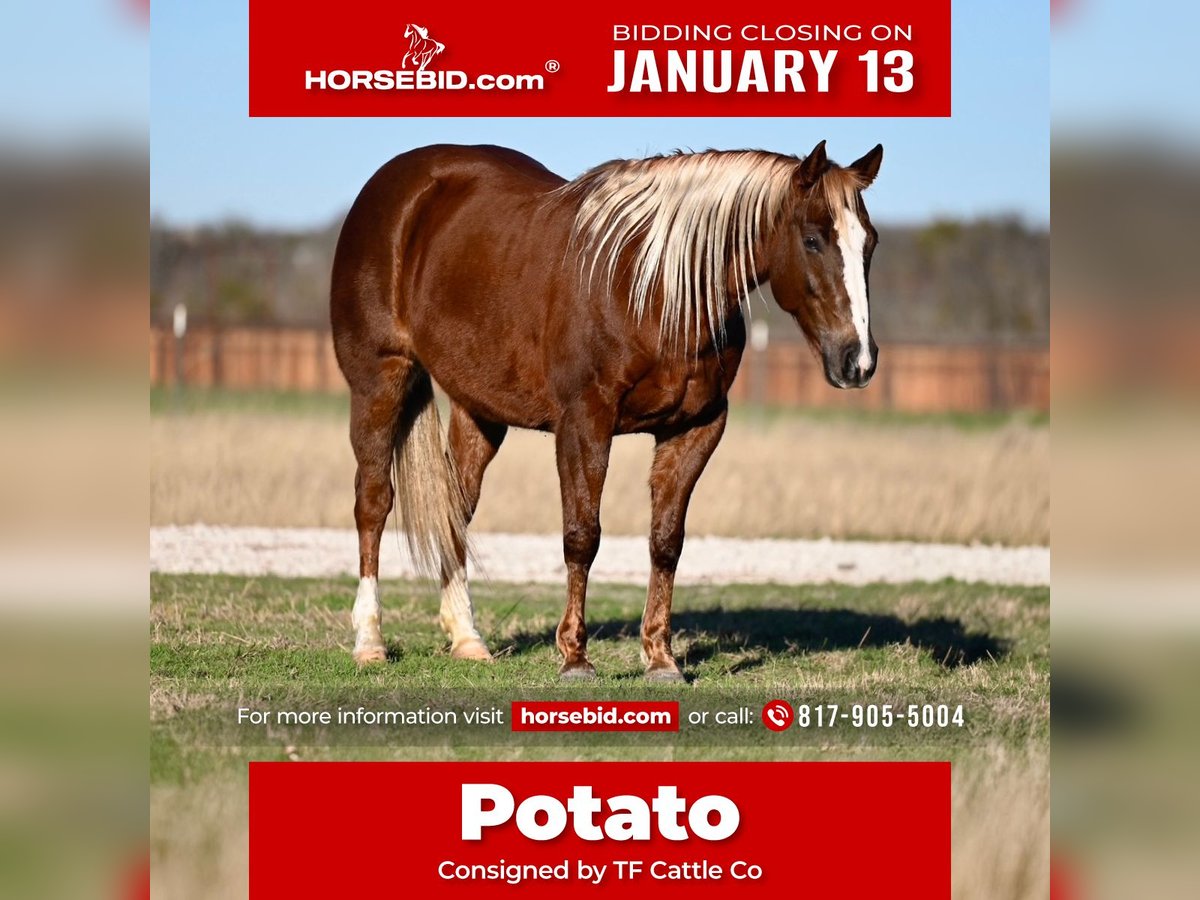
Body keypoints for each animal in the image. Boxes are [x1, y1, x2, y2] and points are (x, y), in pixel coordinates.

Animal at [328, 141, 883, 681]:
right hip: (380, 381)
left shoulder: (696, 428)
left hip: (479, 410)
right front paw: (575, 658)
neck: (655, 290)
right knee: (373, 503)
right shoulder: (583, 424)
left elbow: (666, 540)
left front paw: (660, 658)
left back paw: (467, 639)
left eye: (870, 243)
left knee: (455, 508)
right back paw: (369, 643)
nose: (857, 360)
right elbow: (582, 536)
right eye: (812, 240)